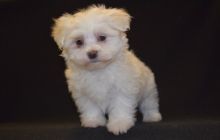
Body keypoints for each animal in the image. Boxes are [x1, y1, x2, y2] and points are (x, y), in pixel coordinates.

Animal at [51, 4, 162, 135]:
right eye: (79, 42)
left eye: (102, 37)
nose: (92, 53)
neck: (98, 70)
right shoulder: (84, 94)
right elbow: (90, 107)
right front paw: (94, 121)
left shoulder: (122, 89)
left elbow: (120, 106)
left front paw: (119, 124)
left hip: (148, 89)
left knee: (149, 103)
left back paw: (152, 117)